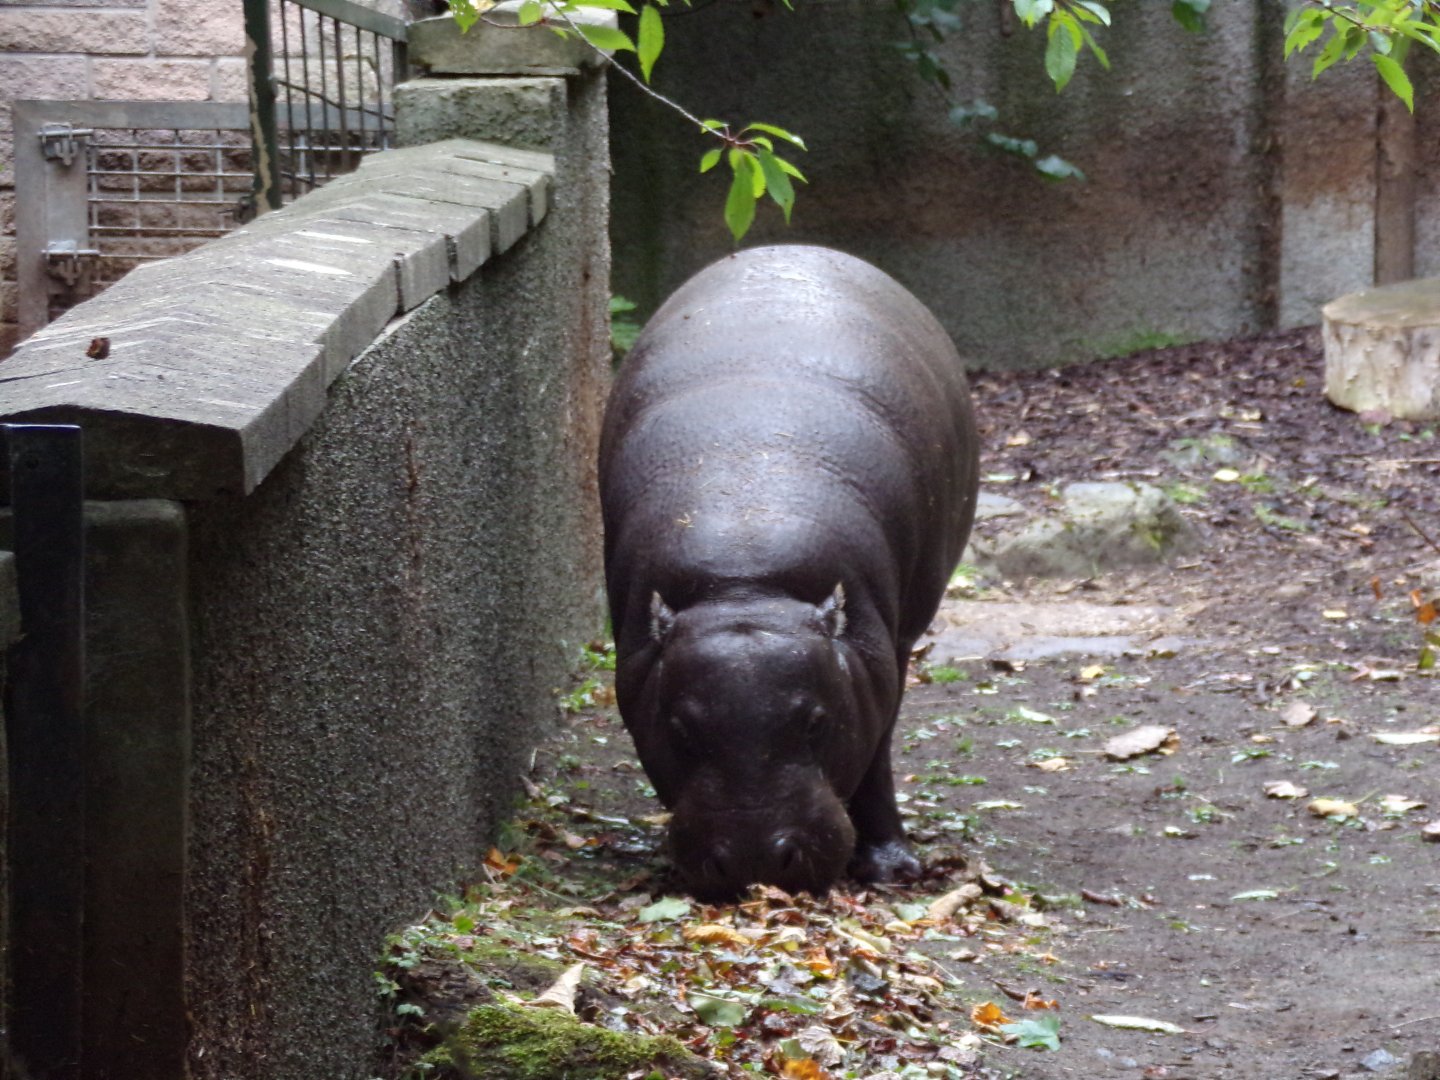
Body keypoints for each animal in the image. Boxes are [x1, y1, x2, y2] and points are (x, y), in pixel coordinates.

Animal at [598, 245, 979, 901]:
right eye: (680, 728)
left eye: (817, 721)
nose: (754, 859)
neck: (746, 580)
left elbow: (876, 754)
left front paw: (892, 870)